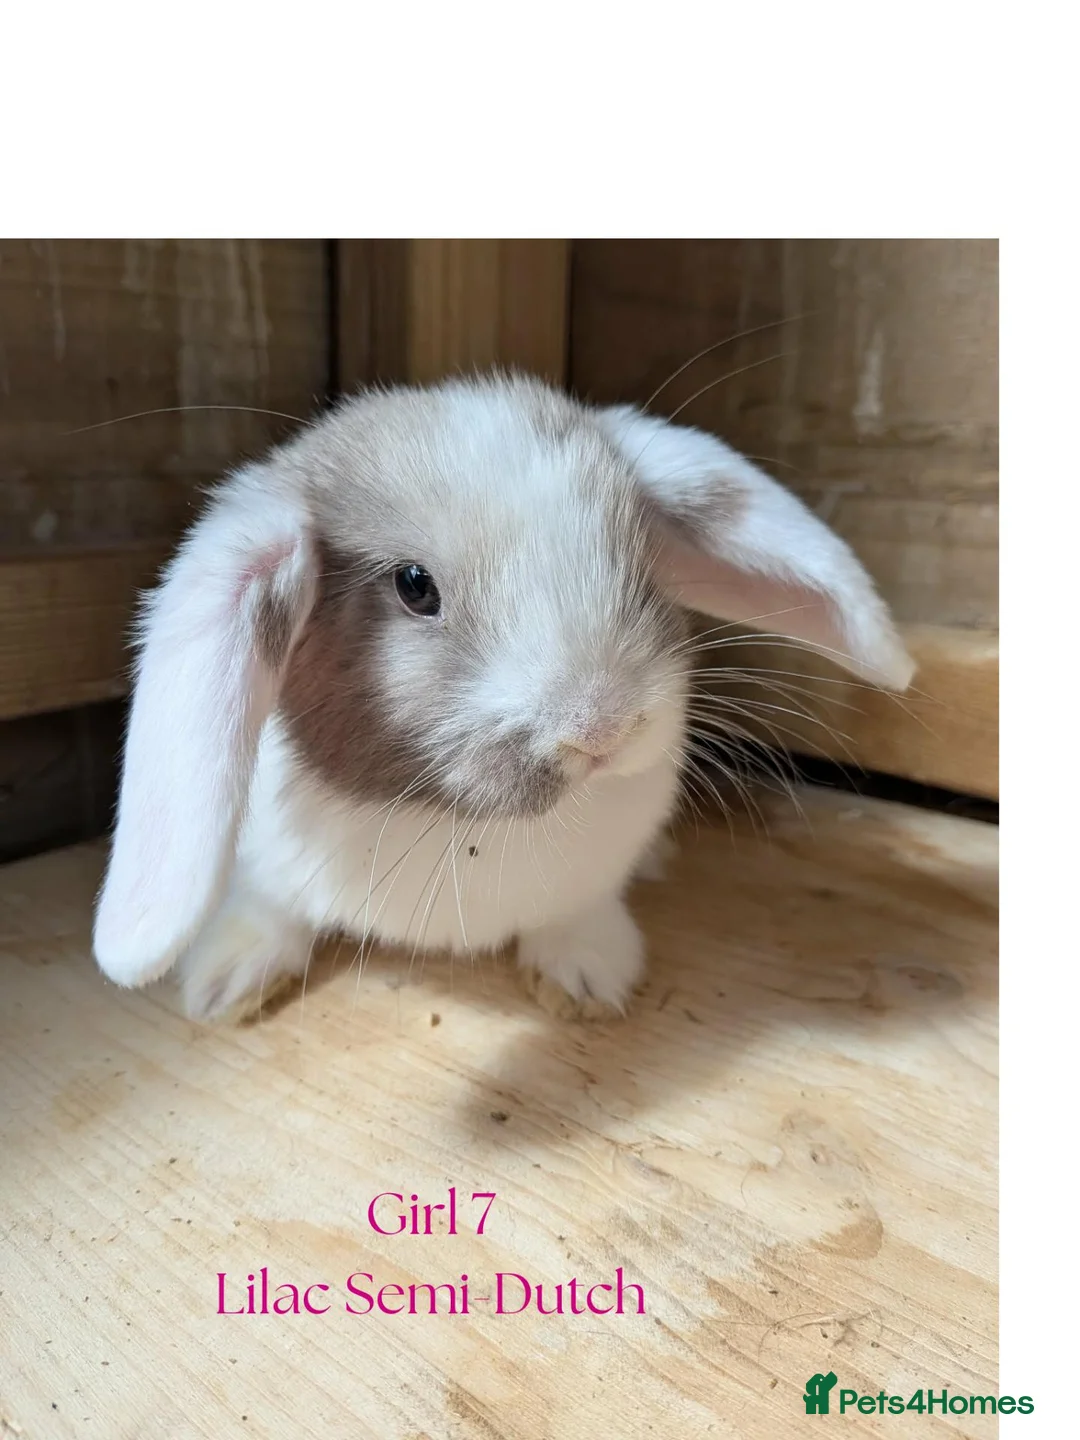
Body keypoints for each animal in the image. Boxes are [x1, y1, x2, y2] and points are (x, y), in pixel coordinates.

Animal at [91, 373, 914, 1024]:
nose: (602, 729)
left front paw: (588, 978)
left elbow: (578, 918)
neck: (460, 830)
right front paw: (224, 983)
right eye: (414, 585)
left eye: (635, 557)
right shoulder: (269, 867)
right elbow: (270, 910)